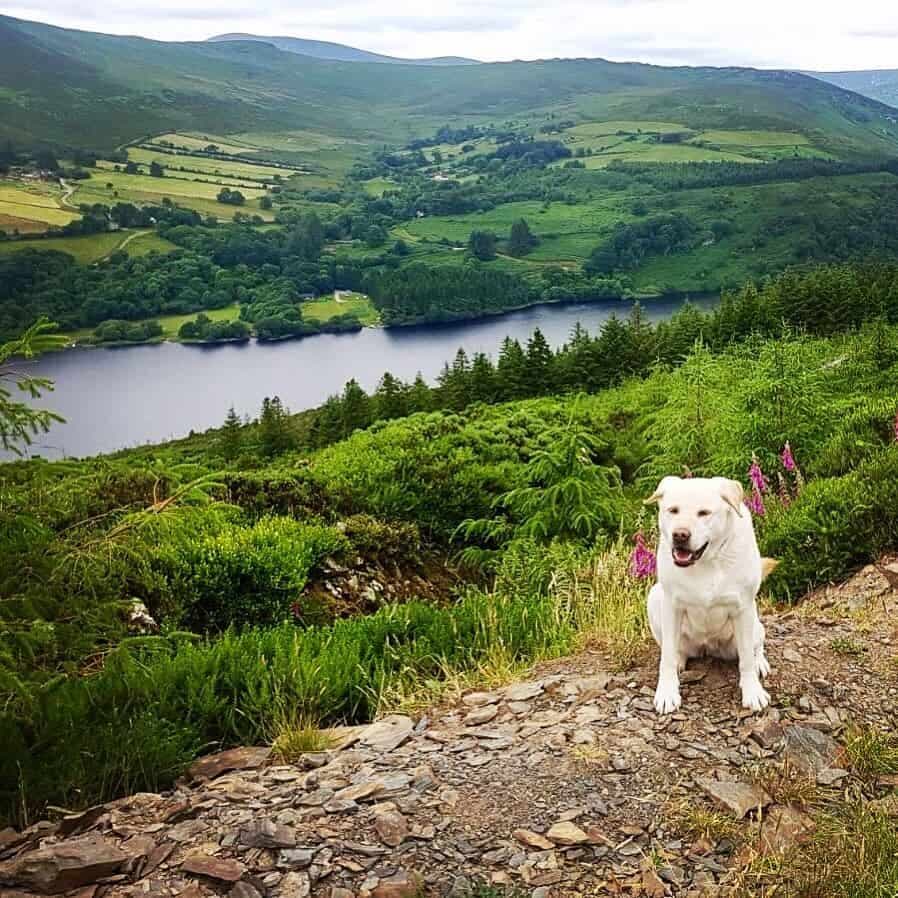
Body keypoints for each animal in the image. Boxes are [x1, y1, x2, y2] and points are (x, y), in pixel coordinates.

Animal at [644, 476, 768, 712]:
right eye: (673, 510)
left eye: (703, 513)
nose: (680, 535)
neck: (706, 561)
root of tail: (707, 648)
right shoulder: (671, 605)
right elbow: (666, 658)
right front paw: (667, 692)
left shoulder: (743, 608)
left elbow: (747, 658)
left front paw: (753, 692)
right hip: (654, 598)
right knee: (675, 650)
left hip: (755, 623)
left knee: (756, 647)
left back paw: (760, 662)